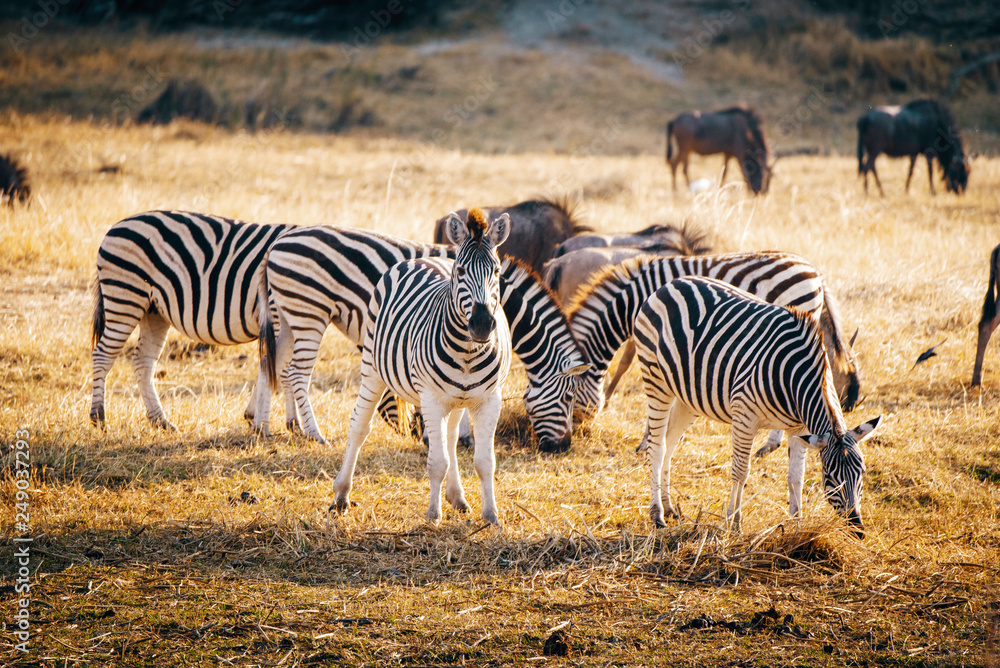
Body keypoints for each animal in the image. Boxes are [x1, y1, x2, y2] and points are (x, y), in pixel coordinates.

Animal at [90, 210, 295, 429]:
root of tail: (114, 227)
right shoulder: (281, 316)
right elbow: (284, 368)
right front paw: (291, 423)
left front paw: (256, 414)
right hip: (125, 297)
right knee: (102, 354)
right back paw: (98, 417)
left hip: (153, 311)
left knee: (142, 361)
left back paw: (160, 420)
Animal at [255, 225, 589, 450]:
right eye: (568, 397)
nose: (563, 447)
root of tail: (278, 243)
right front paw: (452, 435)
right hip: (309, 312)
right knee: (297, 373)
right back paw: (313, 432)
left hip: (288, 315)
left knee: (273, 364)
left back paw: (269, 425)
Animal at [329, 209, 511, 524]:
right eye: (461, 271)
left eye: (497, 272)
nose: (481, 325)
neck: (467, 353)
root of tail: (421, 258)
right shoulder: (431, 399)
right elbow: (437, 462)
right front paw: (433, 515)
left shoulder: (489, 400)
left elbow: (485, 461)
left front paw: (491, 516)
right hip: (372, 370)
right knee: (359, 426)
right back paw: (341, 494)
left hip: (455, 398)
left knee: (450, 438)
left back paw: (457, 497)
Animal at [555, 251, 862, 453]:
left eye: (569, 397)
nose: (577, 435)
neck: (632, 300)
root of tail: (814, 271)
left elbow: (626, 366)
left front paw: (644, 437)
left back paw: (770, 443)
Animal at [633, 276, 882, 534]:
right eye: (830, 476)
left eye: (862, 472)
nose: (857, 529)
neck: (795, 379)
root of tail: (671, 284)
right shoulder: (745, 417)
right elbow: (741, 472)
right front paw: (733, 522)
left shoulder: (800, 428)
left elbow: (796, 477)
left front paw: (796, 525)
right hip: (656, 381)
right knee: (656, 447)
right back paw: (657, 515)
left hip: (688, 398)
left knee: (670, 443)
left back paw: (669, 507)